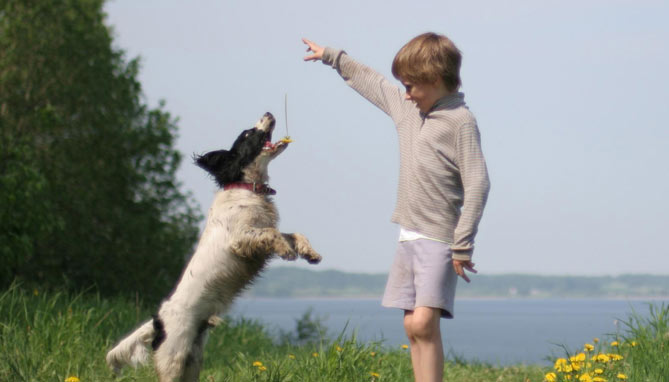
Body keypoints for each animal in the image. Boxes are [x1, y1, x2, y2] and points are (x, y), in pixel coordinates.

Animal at [106, 112, 320, 380]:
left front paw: (310, 253)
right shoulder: (240, 239)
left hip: (193, 359)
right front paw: (287, 251)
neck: (246, 188)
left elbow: (293, 234)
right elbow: (271, 234)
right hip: (173, 358)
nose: (269, 113)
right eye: (248, 134)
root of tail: (158, 321)